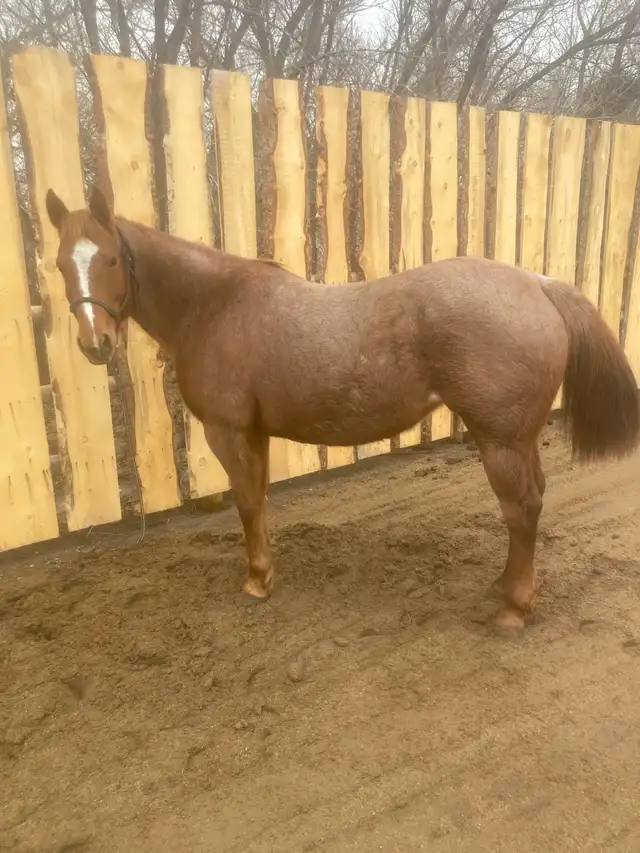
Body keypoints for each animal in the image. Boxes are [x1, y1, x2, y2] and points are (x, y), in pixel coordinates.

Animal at [45, 184, 639, 637]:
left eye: (110, 258)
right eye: (59, 264)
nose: (94, 344)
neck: (215, 305)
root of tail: (539, 284)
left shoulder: (228, 431)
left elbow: (246, 503)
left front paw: (256, 580)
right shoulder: (254, 433)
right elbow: (259, 502)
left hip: (499, 442)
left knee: (521, 509)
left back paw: (513, 608)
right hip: (518, 438)